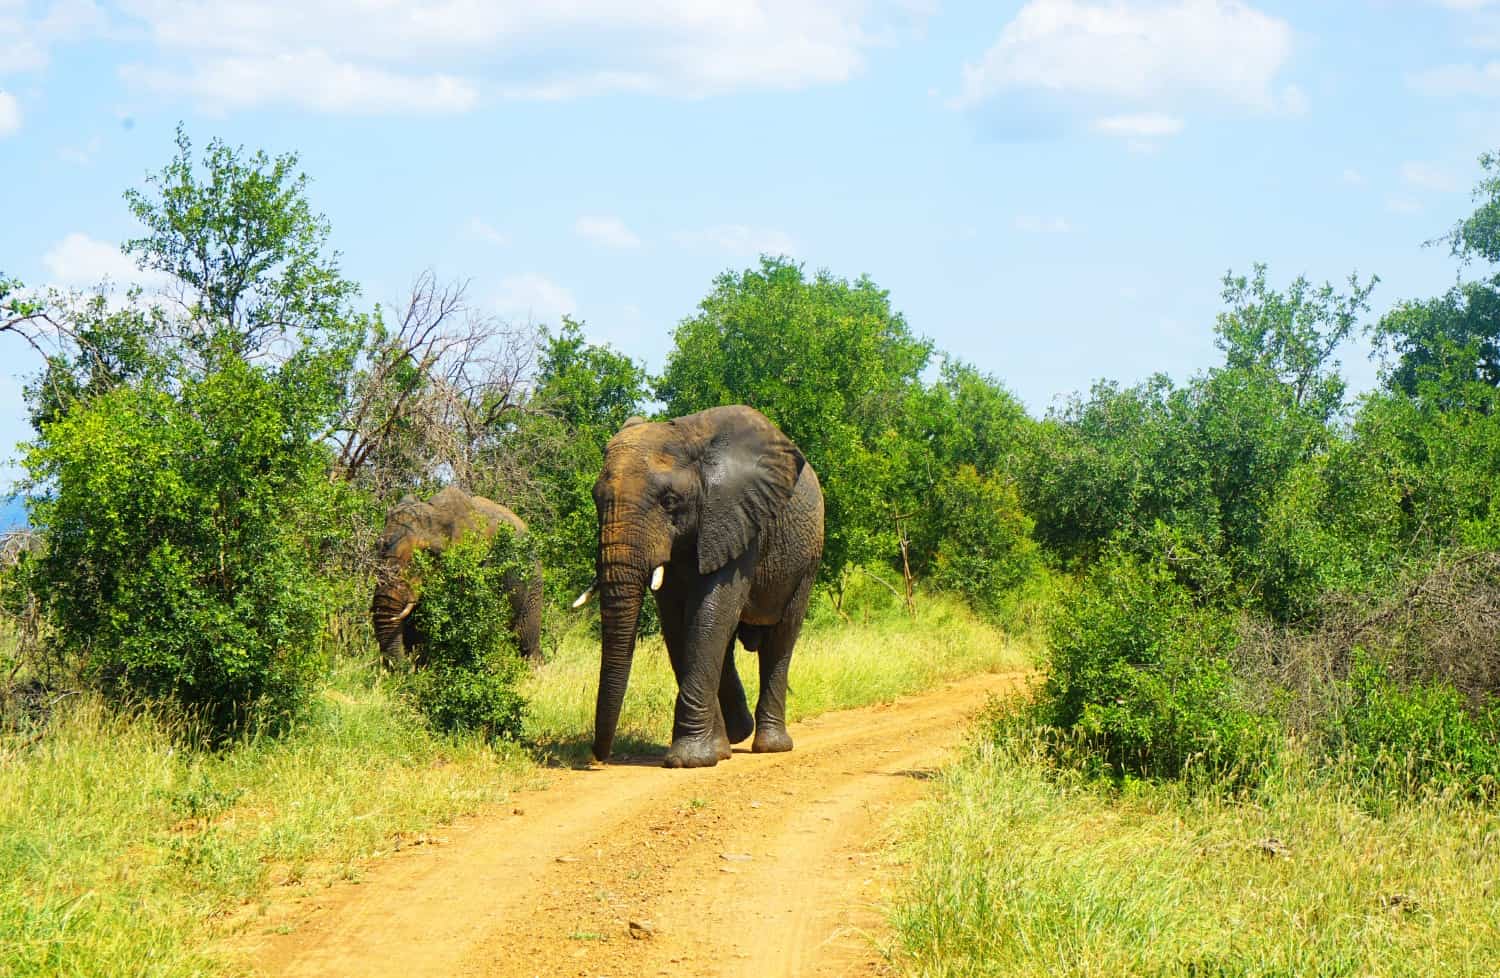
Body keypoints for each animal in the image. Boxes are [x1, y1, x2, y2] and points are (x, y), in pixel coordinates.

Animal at [579, 408, 828, 774]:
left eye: (669, 501)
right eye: (596, 499)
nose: (598, 758)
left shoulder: (737, 518)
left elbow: (711, 613)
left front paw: (688, 761)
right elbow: (679, 625)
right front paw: (713, 753)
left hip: (807, 558)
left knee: (780, 638)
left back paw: (770, 746)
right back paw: (736, 736)